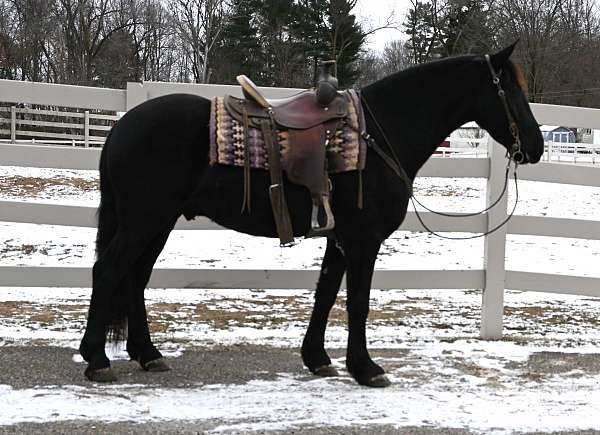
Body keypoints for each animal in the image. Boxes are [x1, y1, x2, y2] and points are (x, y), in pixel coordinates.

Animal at [78, 43, 544, 388]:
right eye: (510, 90)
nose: (536, 146)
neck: (377, 134)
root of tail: (120, 127)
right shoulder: (363, 241)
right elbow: (357, 302)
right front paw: (365, 367)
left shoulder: (339, 238)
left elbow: (325, 294)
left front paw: (317, 358)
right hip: (143, 221)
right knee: (109, 271)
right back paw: (97, 359)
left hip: (156, 223)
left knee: (135, 277)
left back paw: (147, 354)